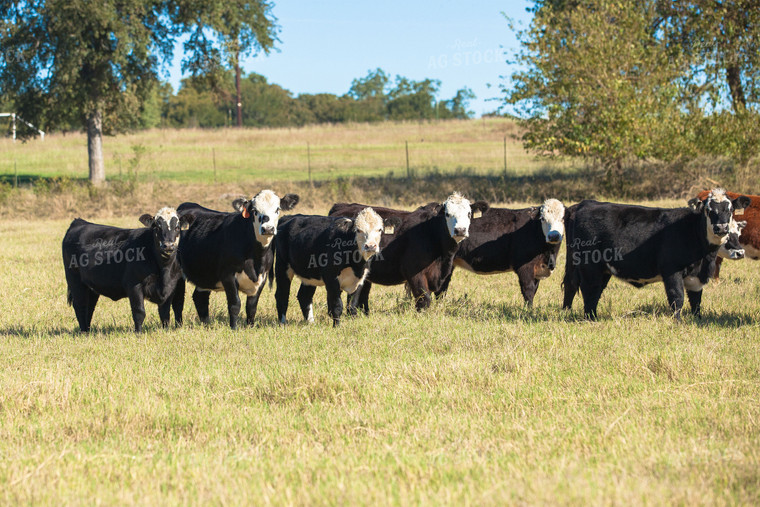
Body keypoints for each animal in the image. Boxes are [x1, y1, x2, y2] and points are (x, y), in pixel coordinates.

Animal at [62, 207, 193, 334]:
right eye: (157, 227)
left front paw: (166, 331)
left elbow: (165, 313)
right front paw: (138, 333)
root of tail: (79, 222)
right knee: (80, 305)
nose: (168, 245)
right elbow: (139, 311)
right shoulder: (134, 285)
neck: (163, 269)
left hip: (91, 286)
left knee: (90, 307)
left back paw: (88, 331)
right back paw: (83, 331)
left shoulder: (171, 287)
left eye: (177, 227)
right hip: (75, 280)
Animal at [177, 190, 298, 330]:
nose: (268, 228)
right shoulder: (228, 275)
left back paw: (206, 324)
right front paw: (234, 328)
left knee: (200, 297)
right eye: (254, 210)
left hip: (204, 275)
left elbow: (251, 307)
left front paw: (250, 327)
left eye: (277, 209)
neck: (255, 259)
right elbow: (235, 304)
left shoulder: (262, 277)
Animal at [274, 208, 404, 328]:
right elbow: (337, 305)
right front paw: (336, 326)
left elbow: (352, 305)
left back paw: (311, 323)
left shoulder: (361, 278)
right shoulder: (331, 278)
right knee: (282, 294)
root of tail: (288, 217)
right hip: (282, 266)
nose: (371, 246)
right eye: (358, 230)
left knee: (304, 296)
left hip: (309, 274)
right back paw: (282, 323)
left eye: (379, 229)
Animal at [330, 192, 490, 314]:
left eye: (469, 213)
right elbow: (424, 300)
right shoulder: (414, 272)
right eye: (447, 214)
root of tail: (341, 206)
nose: (460, 230)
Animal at [560, 189, 752, 320]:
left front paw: (697, 319)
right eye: (709, 210)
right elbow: (677, 297)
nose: (721, 228)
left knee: (576, 286)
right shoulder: (672, 270)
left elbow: (696, 300)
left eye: (730, 210)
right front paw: (678, 321)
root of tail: (584, 204)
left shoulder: (697, 277)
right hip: (590, 266)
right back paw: (590, 318)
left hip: (598, 268)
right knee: (589, 289)